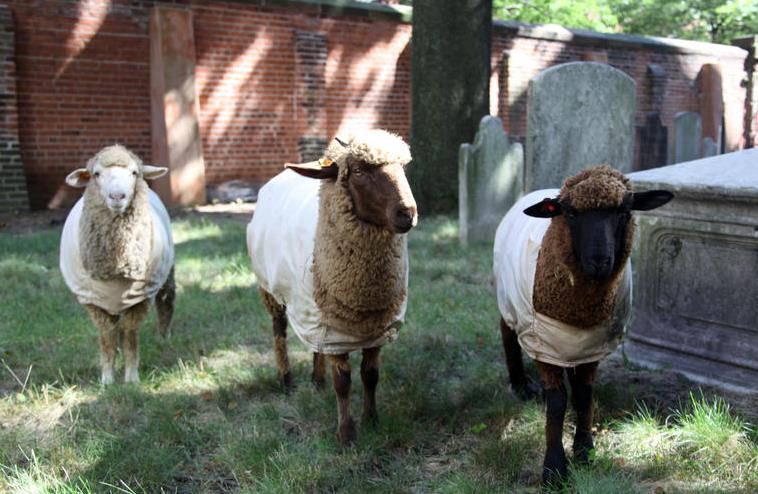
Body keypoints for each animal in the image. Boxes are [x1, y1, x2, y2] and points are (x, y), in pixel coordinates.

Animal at [60, 145, 176, 384]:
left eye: (134, 173)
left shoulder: (141, 298)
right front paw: (107, 380)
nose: (117, 196)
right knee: (117, 330)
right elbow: (107, 340)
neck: (116, 266)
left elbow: (130, 338)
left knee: (165, 303)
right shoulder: (93, 302)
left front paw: (131, 379)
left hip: (166, 274)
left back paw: (164, 338)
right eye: (96, 174)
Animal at [248, 129, 416, 446]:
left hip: (314, 307)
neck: (364, 296)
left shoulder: (376, 328)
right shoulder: (337, 333)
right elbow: (343, 382)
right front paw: (346, 434)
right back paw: (286, 380)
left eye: (403, 168)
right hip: (271, 292)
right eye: (359, 171)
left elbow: (370, 375)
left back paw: (317, 380)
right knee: (279, 333)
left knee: (316, 346)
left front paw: (372, 420)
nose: (408, 213)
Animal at [496, 165, 672, 486]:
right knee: (507, 333)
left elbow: (583, 396)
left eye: (624, 211)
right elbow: (558, 403)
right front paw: (554, 469)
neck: (579, 313)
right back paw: (521, 385)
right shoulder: (543, 344)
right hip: (509, 301)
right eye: (570, 213)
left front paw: (584, 452)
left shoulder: (592, 345)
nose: (599, 261)